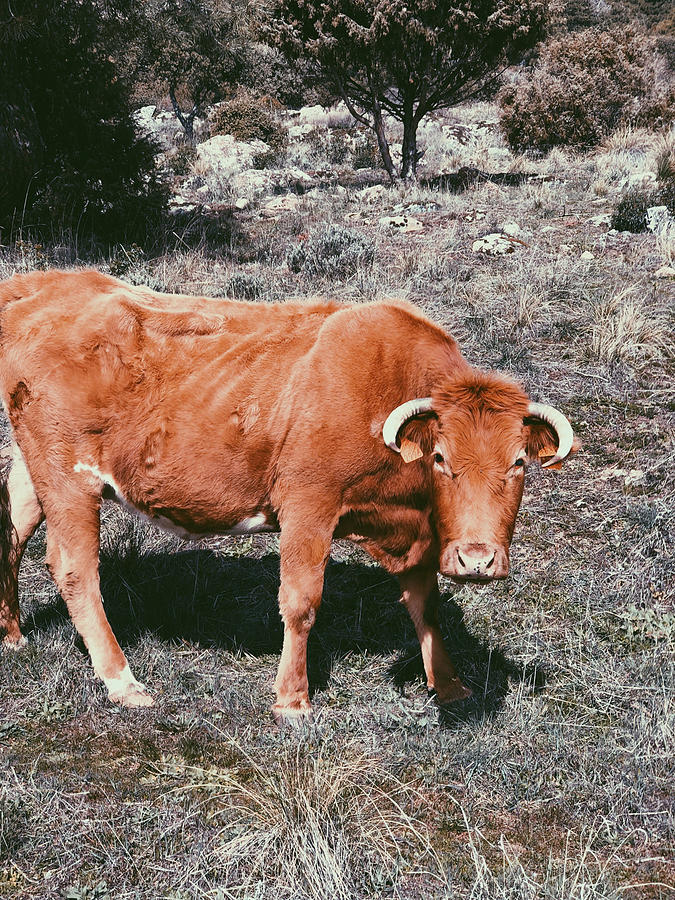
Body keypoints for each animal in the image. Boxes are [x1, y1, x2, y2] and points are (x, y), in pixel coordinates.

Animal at [0, 270, 576, 720]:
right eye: (441, 459)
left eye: (518, 463)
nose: (477, 559)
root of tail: (45, 286)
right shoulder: (308, 504)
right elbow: (301, 602)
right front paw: (292, 700)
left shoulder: (417, 531)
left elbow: (425, 603)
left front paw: (450, 685)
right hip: (68, 474)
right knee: (74, 568)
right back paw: (122, 681)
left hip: (36, 465)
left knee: (13, 528)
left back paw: (11, 633)